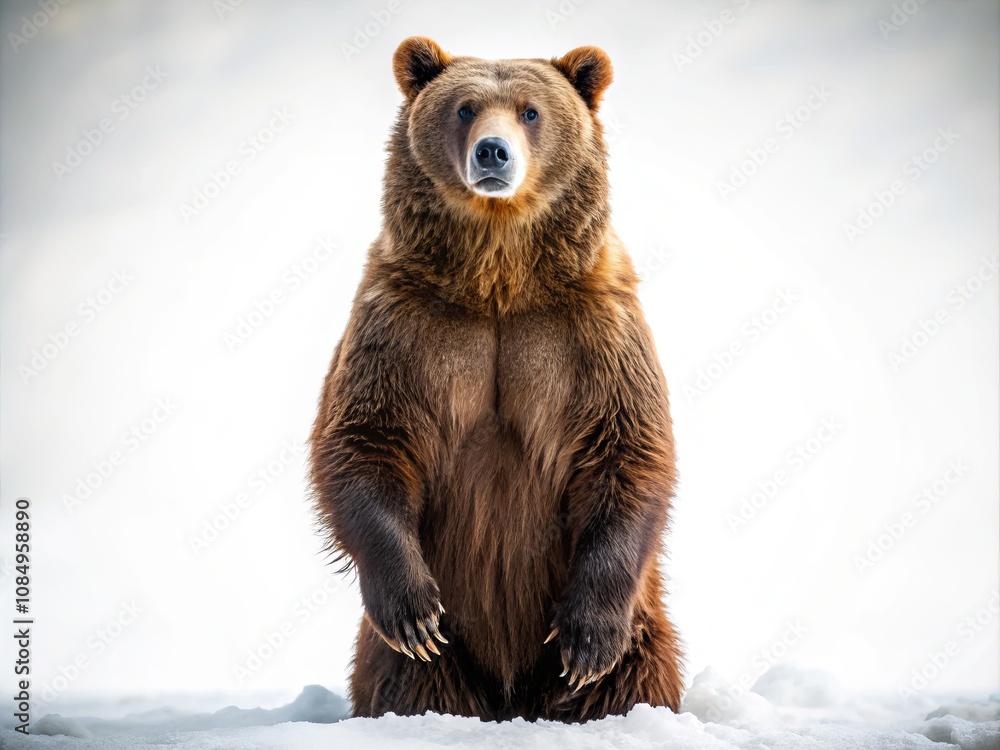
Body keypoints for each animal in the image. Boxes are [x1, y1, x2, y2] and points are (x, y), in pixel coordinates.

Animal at [309, 37, 683, 723]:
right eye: (463, 108)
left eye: (531, 111)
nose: (492, 151)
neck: (498, 280)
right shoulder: (404, 324)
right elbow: (363, 438)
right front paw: (413, 613)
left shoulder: (592, 331)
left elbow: (628, 445)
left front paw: (586, 641)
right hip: (434, 658)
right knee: (415, 680)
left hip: (646, 628)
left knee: (633, 678)